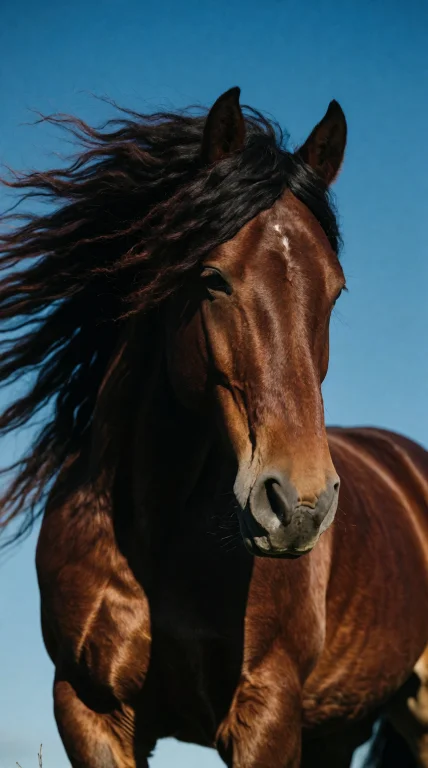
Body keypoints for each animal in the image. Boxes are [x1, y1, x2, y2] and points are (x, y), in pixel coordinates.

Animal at [1, 87, 428, 768]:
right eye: (213, 278)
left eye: (334, 291)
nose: (300, 504)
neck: (154, 532)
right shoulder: (89, 711)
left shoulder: (265, 711)